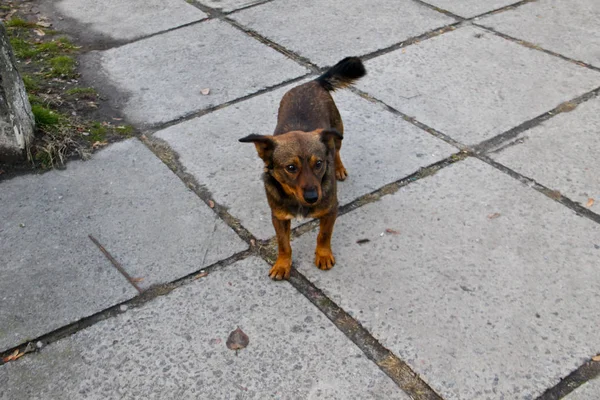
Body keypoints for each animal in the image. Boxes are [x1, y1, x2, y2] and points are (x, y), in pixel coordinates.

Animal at [239, 57, 366, 282]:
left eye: (319, 164)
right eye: (291, 167)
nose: (313, 197)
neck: (296, 198)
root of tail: (312, 83)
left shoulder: (330, 210)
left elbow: (323, 235)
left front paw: (323, 255)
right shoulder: (279, 217)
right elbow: (284, 244)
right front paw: (282, 264)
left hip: (337, 132)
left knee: (336, 149)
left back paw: (339, 168)